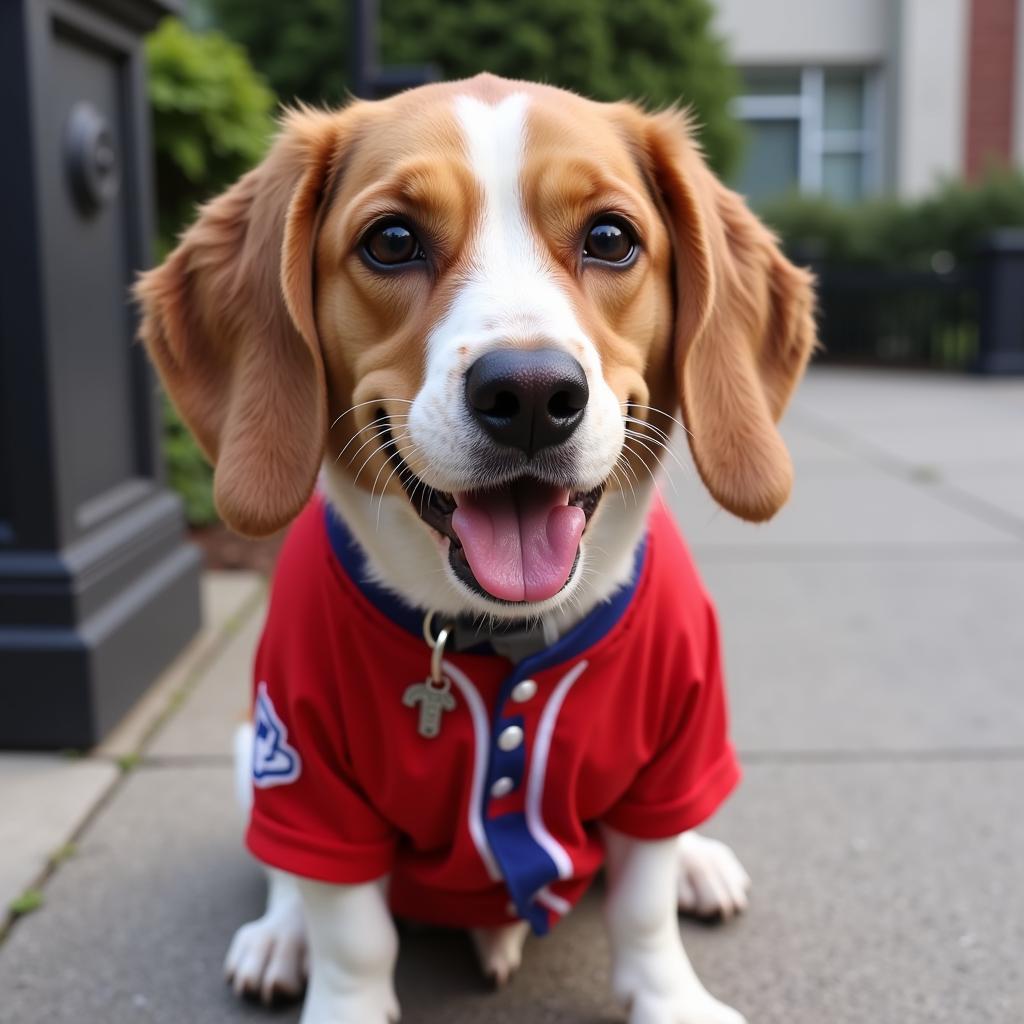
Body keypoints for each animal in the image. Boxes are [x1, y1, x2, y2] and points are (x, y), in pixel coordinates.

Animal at [136, 74, 815, 1024]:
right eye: (392, 241)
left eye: (611, 238)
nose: (530, 393)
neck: (502, 634)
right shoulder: (307, 780)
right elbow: (351, 930)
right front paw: (337, 987)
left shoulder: (674, 752)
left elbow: (643, 902)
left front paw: (671, 993)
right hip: (250, 758)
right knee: (282, 875)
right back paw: (280, 936)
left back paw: (699, 864)